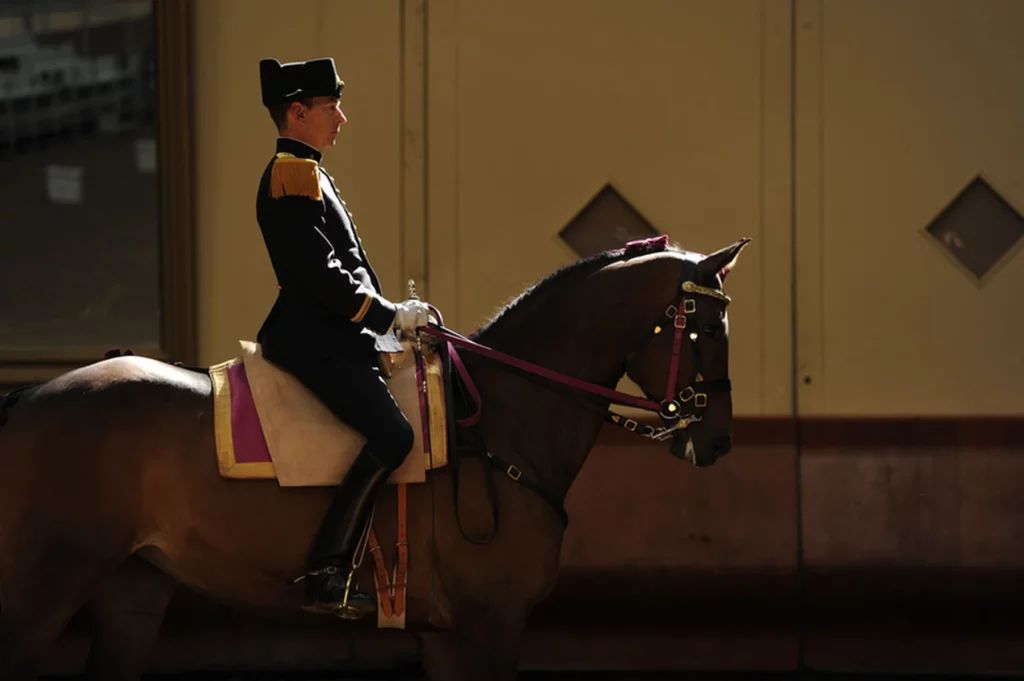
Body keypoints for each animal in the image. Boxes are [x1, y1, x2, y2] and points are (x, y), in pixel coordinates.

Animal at [0, 235, 753, 679]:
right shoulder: (489, 626)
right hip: (42, 589)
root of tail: (31, 395)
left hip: (132, 591)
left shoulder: (449, 637)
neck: (499, 421)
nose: (717, 440)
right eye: (709, 329)